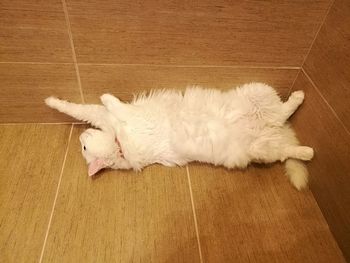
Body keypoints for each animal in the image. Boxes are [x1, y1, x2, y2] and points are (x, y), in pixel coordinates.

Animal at [45, 82, 314, 190]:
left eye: (84, 150)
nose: (80, 139)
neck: (118, 143)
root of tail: (272, 127)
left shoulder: (111, 118)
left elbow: (84, 108)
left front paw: (51, 101)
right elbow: (98, 110)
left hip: (258, 92)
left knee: (283, 111)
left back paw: (298, 97)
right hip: (262, 150)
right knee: (286, 143)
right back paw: (308, 150)